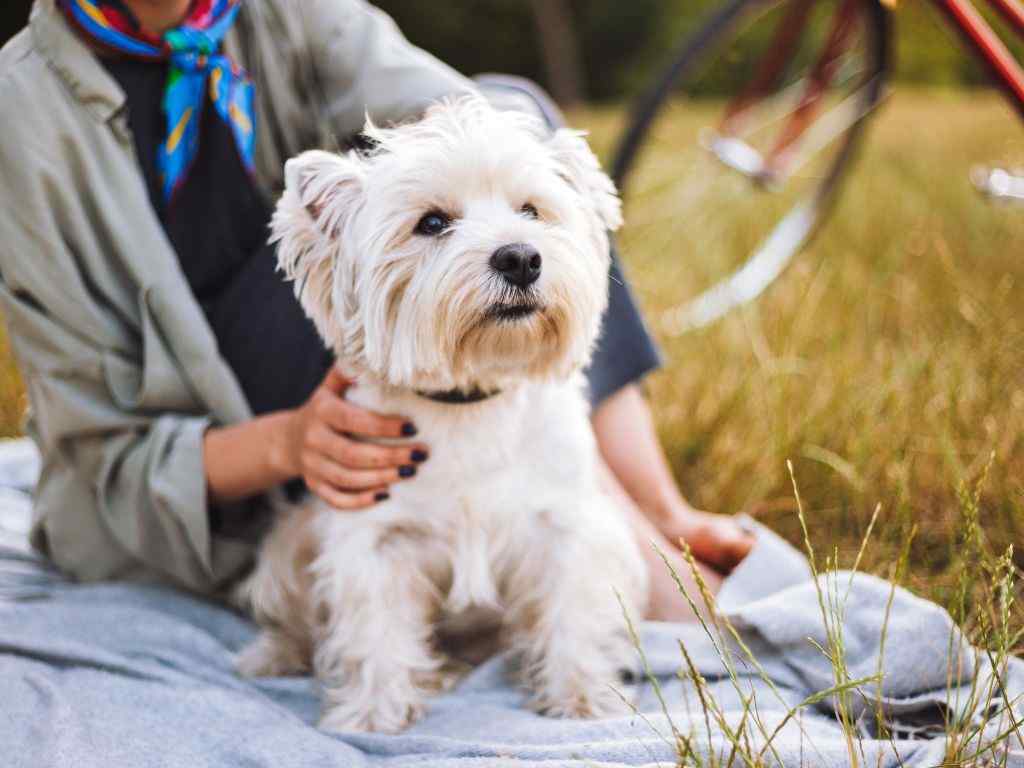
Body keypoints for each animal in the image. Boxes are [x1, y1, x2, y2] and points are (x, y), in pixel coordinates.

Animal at [235, 96, 643, 733]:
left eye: (531, 210)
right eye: (431, 223)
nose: (521, 257)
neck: (471, 399)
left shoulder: (563, 527)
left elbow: (569, 612)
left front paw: (580, 695)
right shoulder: (374, 540)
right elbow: (375, 630)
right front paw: (374, 712)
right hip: (289, 545)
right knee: (295, 618)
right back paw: (276, 654)